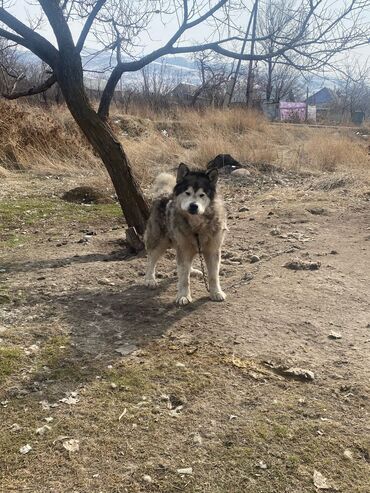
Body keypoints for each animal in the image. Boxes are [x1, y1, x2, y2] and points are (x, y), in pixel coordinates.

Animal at [144, 163, 225, 306]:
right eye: (187, 193)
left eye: (202, 195)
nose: (193, 206)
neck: (197, 226)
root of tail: (165, 193)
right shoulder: (183, 249)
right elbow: (183, 278)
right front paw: (183, 296)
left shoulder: (212, 251)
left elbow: (213, 276)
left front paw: (216, 293)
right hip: (159, 242)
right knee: (151, 260)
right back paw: (150, 279)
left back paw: (192, 271)